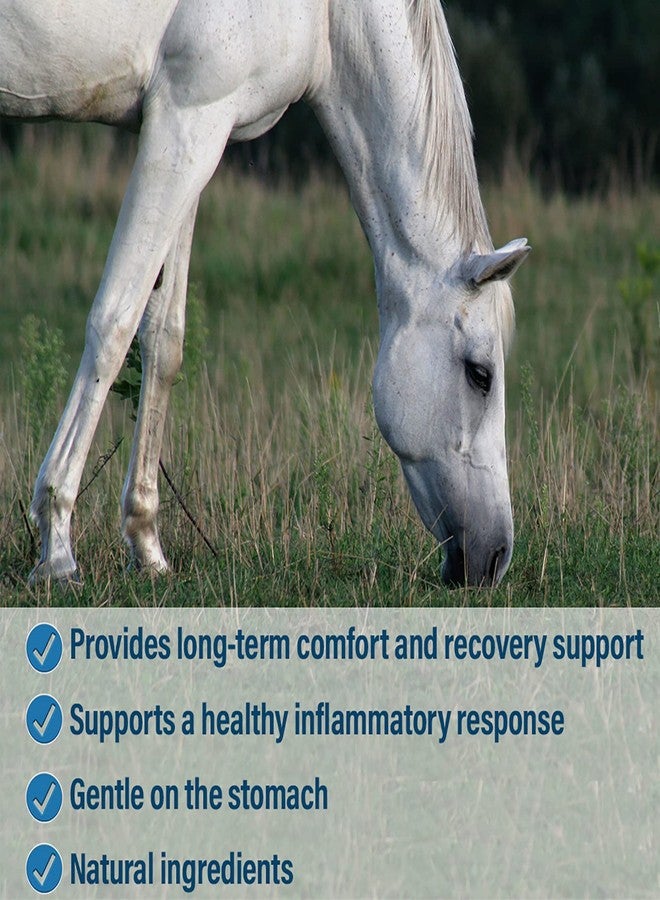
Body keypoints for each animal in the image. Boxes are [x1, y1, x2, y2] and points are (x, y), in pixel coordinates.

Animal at [0, 0, 529, 588]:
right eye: (480, 375)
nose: (496, 556)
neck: (328, 18)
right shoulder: (187, 117)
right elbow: (113, 324)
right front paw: (56, 546)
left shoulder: (192, 131)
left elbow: (163, 341)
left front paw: (147, 546)